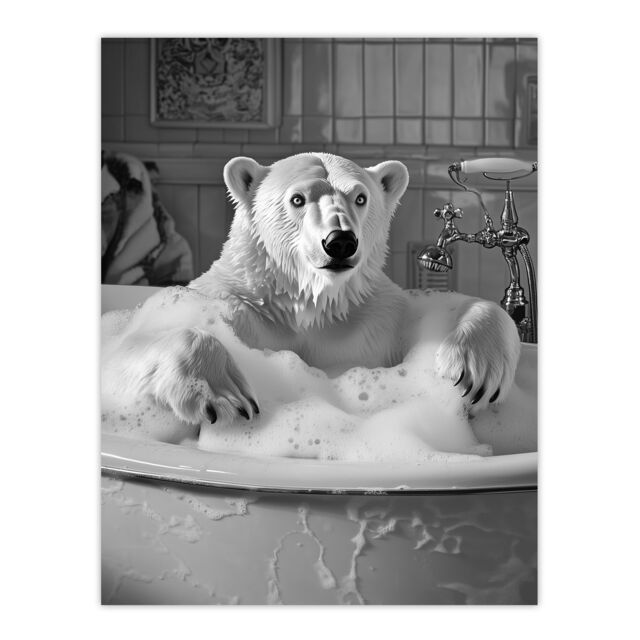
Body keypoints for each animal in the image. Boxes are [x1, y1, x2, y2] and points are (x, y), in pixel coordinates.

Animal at [101, 152, 520, 436]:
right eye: (298, 199)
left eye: (361, 197)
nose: (340, 242)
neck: (306, 306)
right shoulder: (228, 304)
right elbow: (125, 347)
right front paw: (223, 392)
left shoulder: (376, 317)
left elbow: (434, 314)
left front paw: (473, 371)